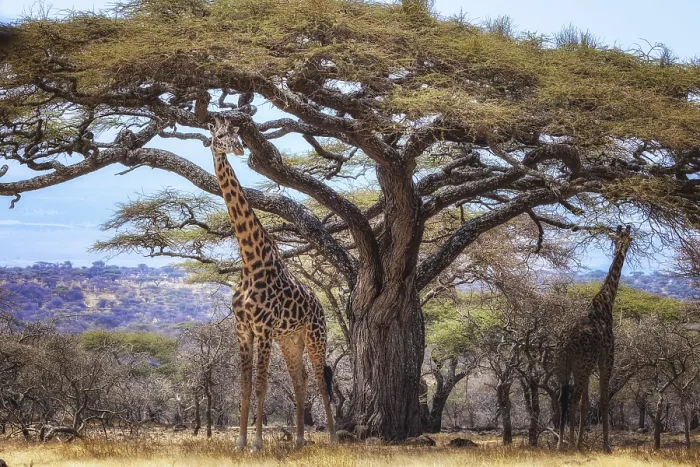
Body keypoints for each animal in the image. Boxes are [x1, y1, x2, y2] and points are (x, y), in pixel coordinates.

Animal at [207, 116, 337, 451]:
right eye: (219, 135)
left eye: (237, 135)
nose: (238, 149)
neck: (251, 261)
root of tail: (319, 306)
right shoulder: (243, 328)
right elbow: (244, 386)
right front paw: (239, 443)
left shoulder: (263, 327)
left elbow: (261, 385)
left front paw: (256, 445)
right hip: (289, 340)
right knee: (300, 379)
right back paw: (299, 441)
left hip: (315, 336)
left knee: (320, 380)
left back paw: (333, 438)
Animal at [555, 225, 632, 452]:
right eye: (627, 238)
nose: (624, 246)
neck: (606, 303)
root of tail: (565, 346)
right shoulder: (605, 359)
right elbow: (603, 401)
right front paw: (606, 445)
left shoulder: (590, 366)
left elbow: (586, 403)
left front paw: (583, 441)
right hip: (580, 366)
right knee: (572, 399)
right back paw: (571, 445)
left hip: (563, 367)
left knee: (562, 399)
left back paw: (561, 444)